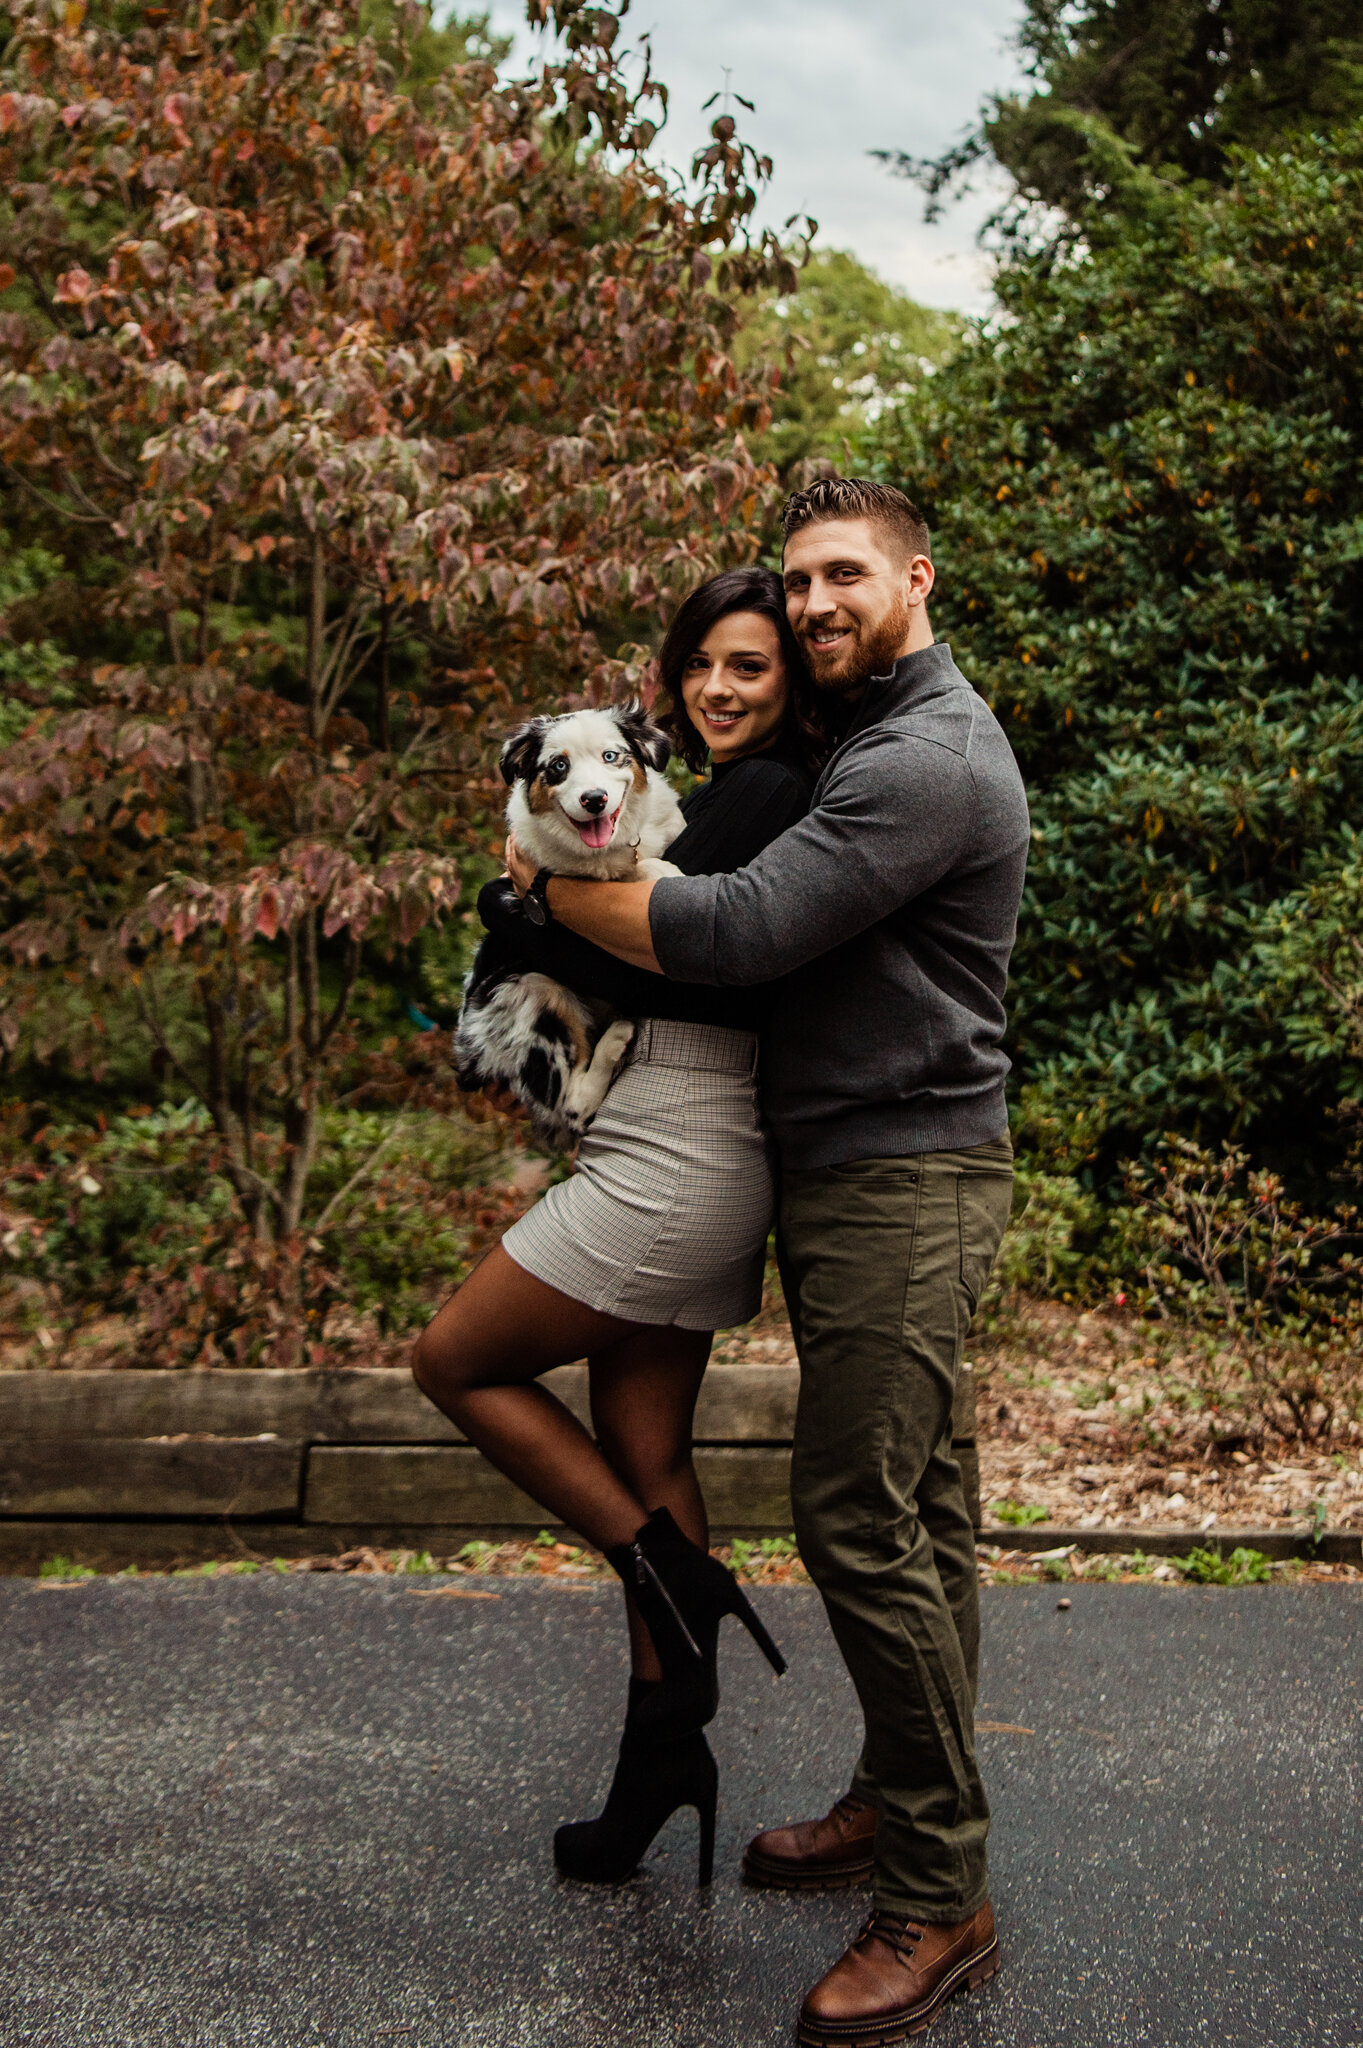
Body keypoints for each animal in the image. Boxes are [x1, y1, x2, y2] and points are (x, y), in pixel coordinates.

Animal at [448, 704, 679, 1155]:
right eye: (558, 766)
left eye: (611, 756)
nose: (594, 799)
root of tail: (469, 1061)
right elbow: (628, 872)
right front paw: (663, 872)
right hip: (531, 994)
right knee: (570, 1106)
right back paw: (615, 1041)